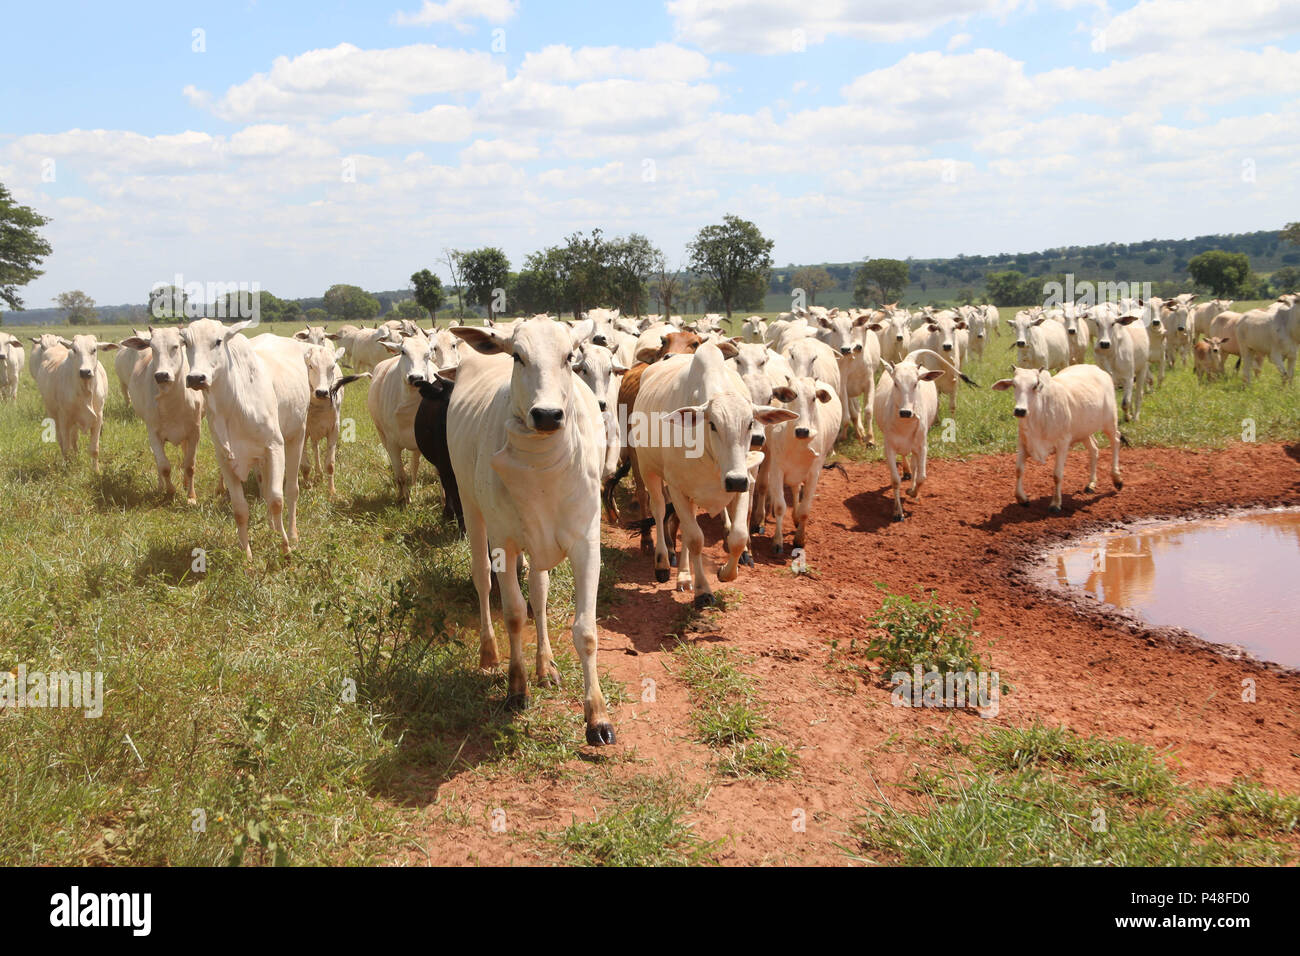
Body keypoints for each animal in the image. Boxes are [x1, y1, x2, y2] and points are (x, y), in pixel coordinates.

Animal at [120, 327, 204, 502]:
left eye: (176, 346)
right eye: (152, 347)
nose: (161, 375)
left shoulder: (195, 431)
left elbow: (190, 465)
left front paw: (191, 497)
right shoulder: (153, 434)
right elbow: (164, 466)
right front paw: (170, 491)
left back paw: (185, 483)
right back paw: (160, 487)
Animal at [444, 317, 616, 743]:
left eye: (569, 357)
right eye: (518, 356)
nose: (548, 415)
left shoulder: (586, 544)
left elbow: (585, 630)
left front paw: (597, 717)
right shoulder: (505, 543)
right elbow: (513, 614)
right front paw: (516, 688)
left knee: (539, 592)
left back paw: (546, 664)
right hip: (471, 507)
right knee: (482, 580)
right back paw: (490, 653)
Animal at [993, 366, 1128, 515]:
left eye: (1035, 385)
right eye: (1014, 385)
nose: (1020, 411)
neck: (1038, 416)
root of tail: (1097, 369)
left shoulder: (1063, 444)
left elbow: (1057, 475)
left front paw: (1056, 504)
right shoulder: (1023, 443)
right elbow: (1018, 470)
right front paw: (1021, 498)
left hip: (1110, 421)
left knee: (1116, 440)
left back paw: (1117, 479)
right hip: (1084, 431)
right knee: (1094, 449)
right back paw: (1091, 484)